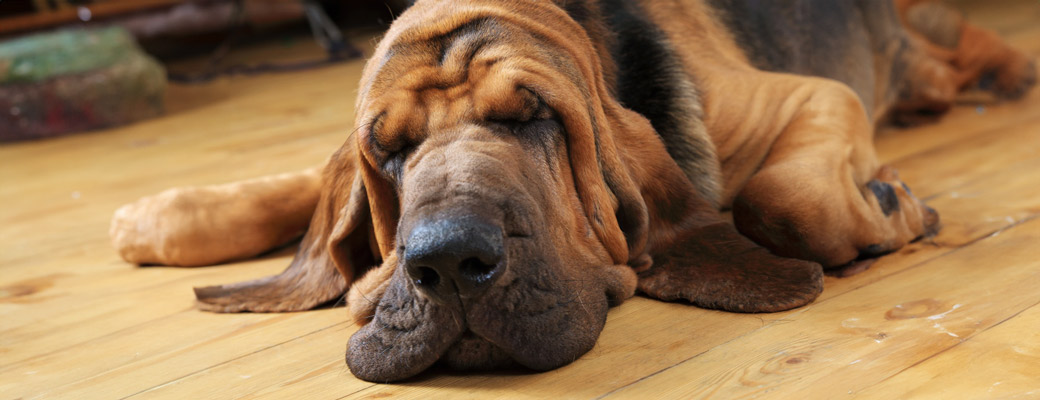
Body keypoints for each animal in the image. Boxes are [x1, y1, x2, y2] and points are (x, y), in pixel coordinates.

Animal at [109, 0, 1035, 382]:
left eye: (535, 119)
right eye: (390, 150)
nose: (447, 265)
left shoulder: (811, 96)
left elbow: (788, 200)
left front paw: (890, 203)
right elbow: (309, 185)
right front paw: (156, 217)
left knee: (949, 54)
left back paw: (1004, 70)